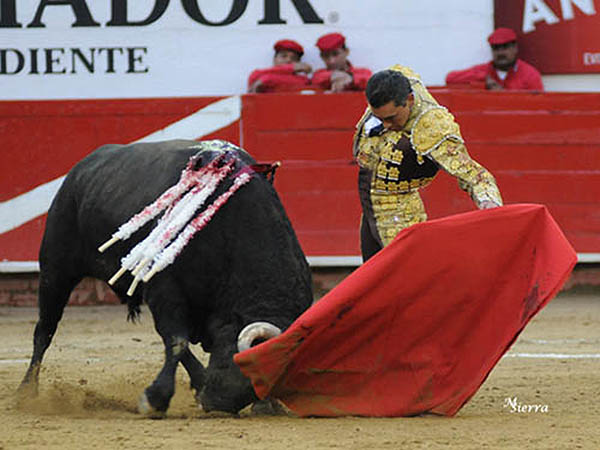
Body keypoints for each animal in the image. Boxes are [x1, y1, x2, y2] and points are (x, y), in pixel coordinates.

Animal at [18, 139, 314, 416]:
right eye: (240, 362)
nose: (216, 404)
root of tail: (80, 169)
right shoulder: (166, 290)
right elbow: (176, 340)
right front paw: (155, 399)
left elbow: (175, 340)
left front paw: (267, 404)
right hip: (56, 269)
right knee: (45, 330)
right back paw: (27, 391)